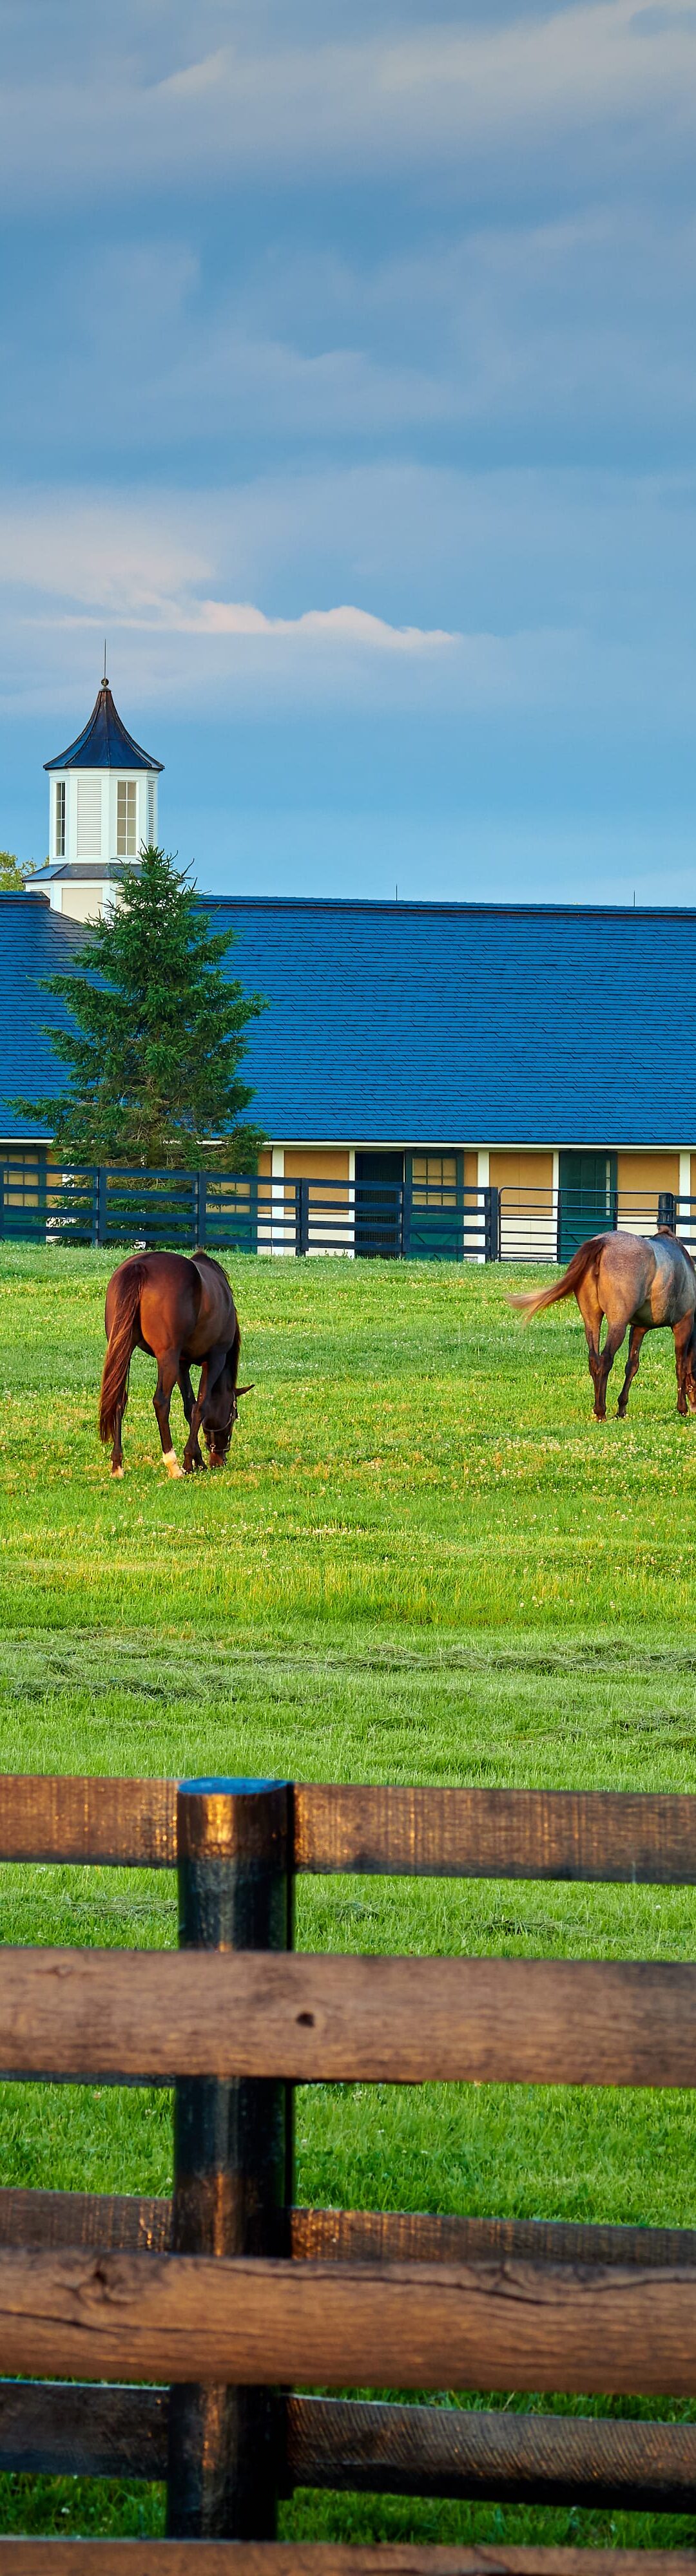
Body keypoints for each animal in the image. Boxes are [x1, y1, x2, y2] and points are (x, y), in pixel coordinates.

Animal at [98, 1242, 250, 1473]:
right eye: (234, 1416)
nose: (220, 1459)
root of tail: (140, 1267)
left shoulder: (182, 1363)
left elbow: (190, 1406)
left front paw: (197, 1459)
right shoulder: (214, 1360)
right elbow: (200, 1407)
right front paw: (190, 1460)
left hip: (124, 1350)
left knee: (118, 1398)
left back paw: (117, 1464)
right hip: (167, 1357)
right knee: (161, 1402)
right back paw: (173, 1464)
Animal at [508, 1221, 696, 1422]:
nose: (694, 1408)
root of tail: (603, 1243)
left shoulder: (639, 1328)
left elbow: (632, 1366)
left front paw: (622, 1409)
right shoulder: (683, 1324)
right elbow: (680, 1366)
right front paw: (682, 1408)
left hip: (591, 1320)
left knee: (594, 1360)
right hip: (617, 1324)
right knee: (605, 1360)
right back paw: (601, 1411)